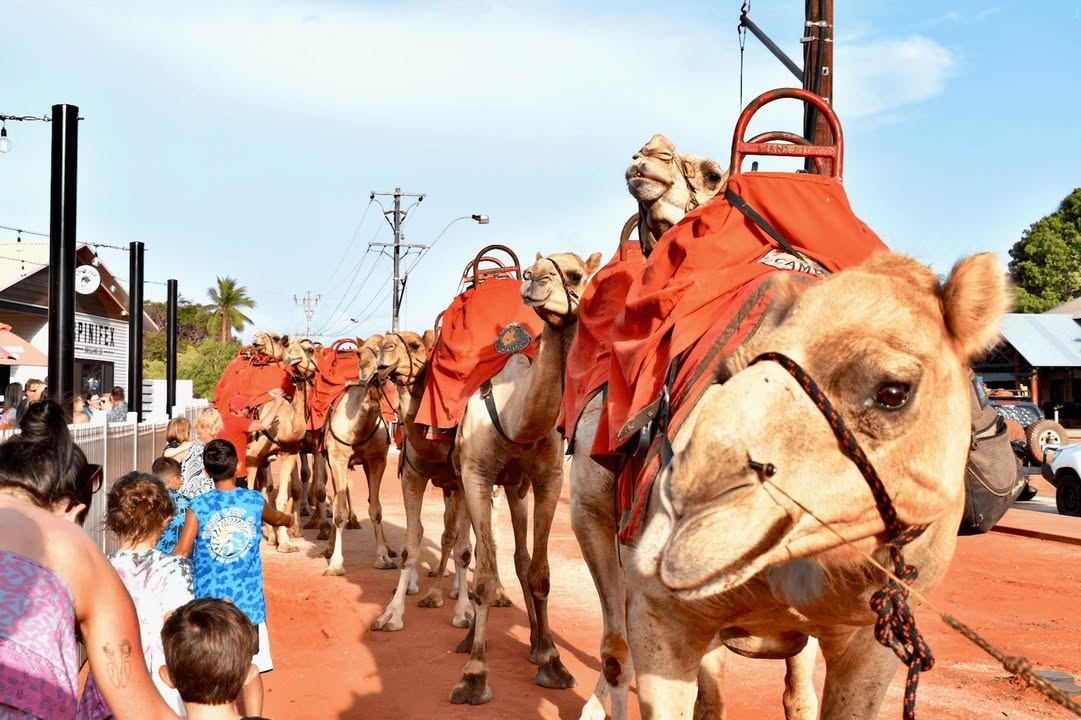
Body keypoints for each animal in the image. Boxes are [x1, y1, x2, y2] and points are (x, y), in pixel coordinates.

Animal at [319, 332, 397, 575]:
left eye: (388, 348)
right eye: (360, 354)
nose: (366, 371)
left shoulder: (377, 460)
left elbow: (376, 509)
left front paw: (383, 557)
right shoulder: (338, 459)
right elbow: (339, 512)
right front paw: (335, 564)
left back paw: (391, 549)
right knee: (336, 499)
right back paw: (328, 548)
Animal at [443, 249, 605, 704]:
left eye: (577, 274)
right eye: (536, 269)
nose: (533, 279)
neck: (516, 419)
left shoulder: (548, 479)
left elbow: (539, 572)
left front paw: (552, 659)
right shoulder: (477, 476)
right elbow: (483, 575)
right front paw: (474, 674)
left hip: (516, 489)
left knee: (518, 558)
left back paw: (534, 641)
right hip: (468, 482)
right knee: (476, 552)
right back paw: (469, 640)